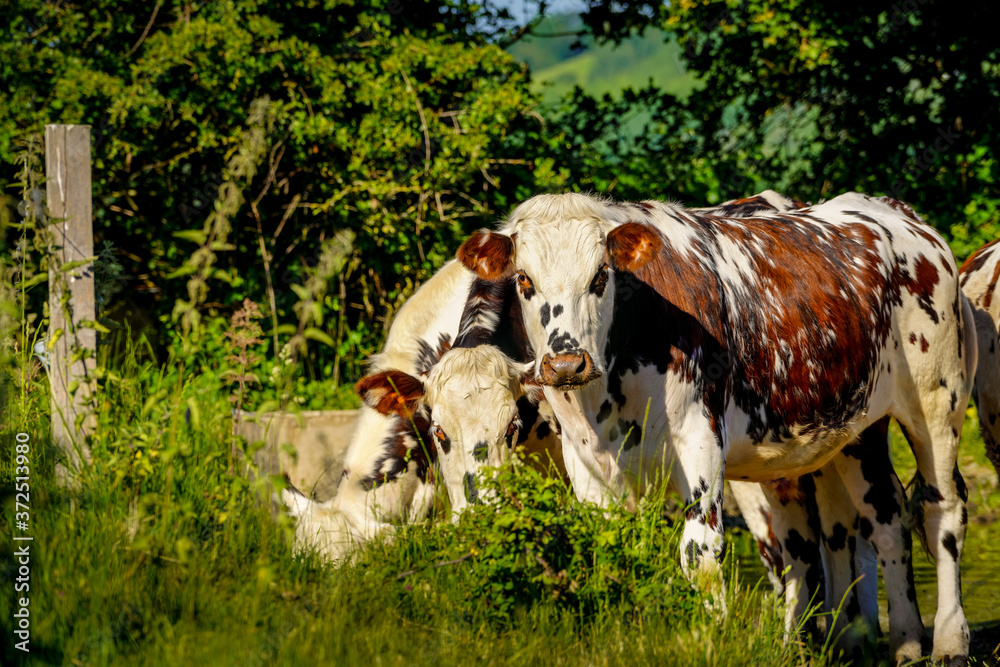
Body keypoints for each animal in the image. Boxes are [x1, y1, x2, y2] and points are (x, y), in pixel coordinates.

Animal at [456, 191, 976, 664]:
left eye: (600, 275)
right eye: (524, 279)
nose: (566, 363)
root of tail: (897, 211)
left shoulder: (699, 437)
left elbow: (699, 552)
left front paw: (708, 636)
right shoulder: (585, 459)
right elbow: (606, 550)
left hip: (936, 401)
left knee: (941, 510)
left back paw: (949, 641)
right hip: (856, 427)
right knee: (884, 517)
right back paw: (905, 643)